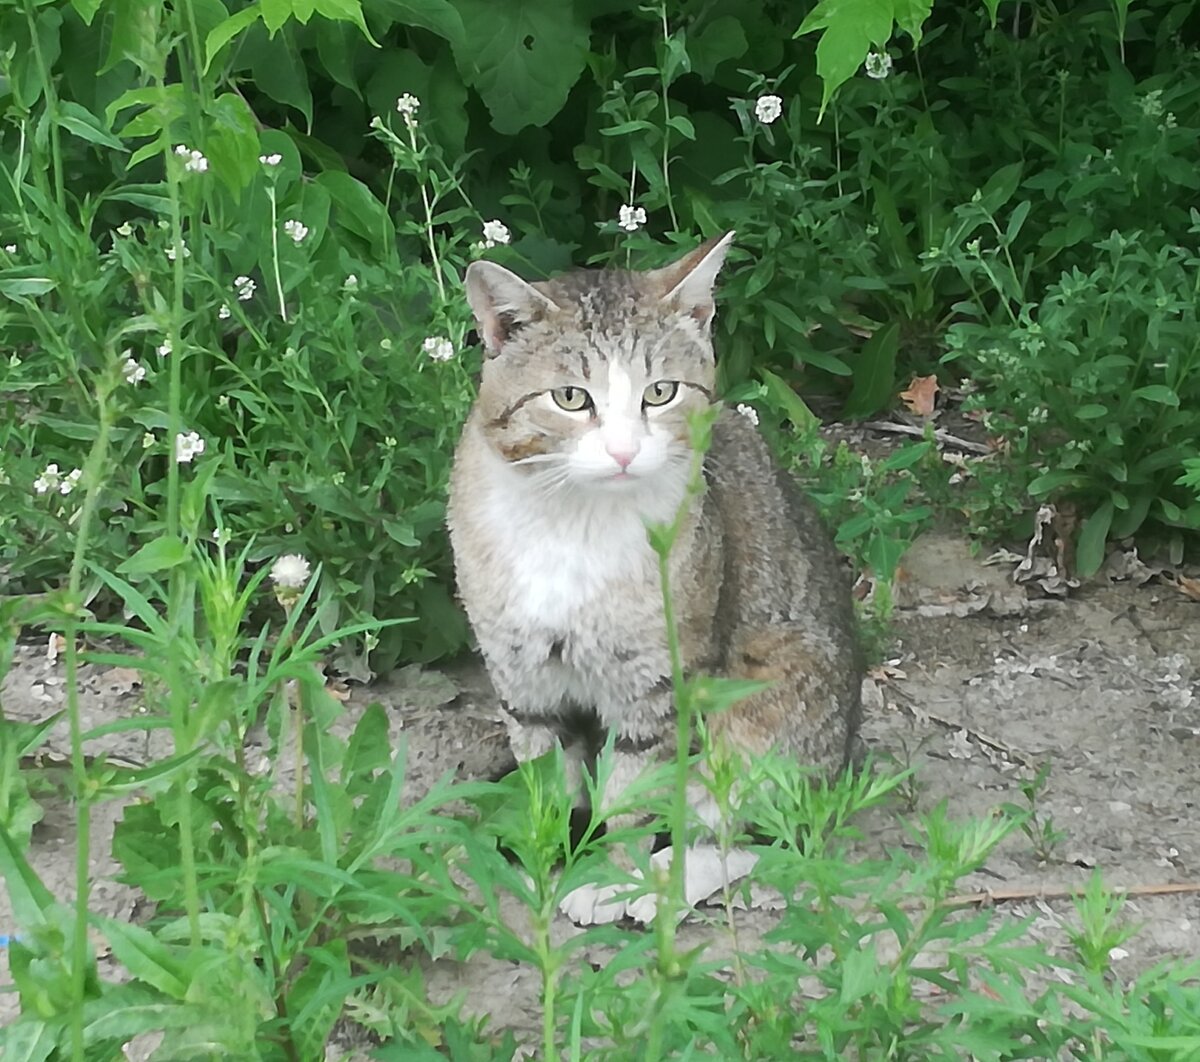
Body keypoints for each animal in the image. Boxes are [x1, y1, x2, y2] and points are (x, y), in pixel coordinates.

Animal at [447, 232, 863, 924]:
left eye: (661, 392)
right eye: (570, 398)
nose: (623, 451)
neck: (573, 523)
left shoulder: (658, 686)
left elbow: (631, 798)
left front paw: (612, 878)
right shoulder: (522, 678)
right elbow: (546, 781)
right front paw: (545, 854)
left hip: (770, 698)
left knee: (758, 835)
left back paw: (667, 883)